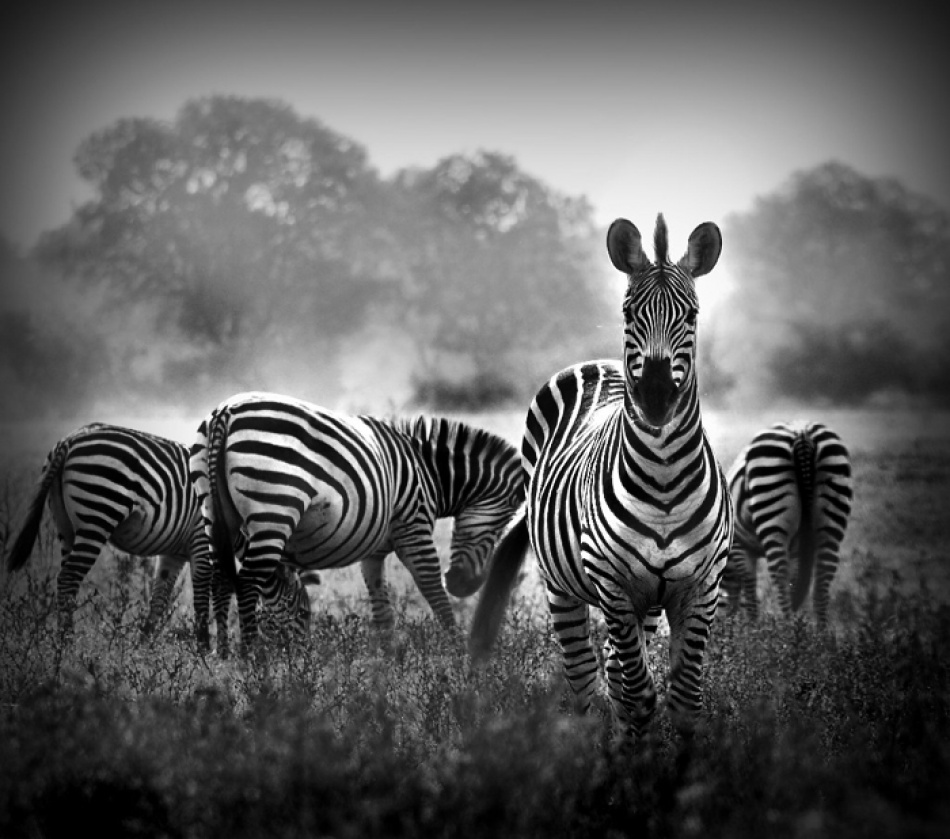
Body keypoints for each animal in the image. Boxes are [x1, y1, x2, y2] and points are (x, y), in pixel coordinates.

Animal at [6, 424, 212, 640]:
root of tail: (72, 437)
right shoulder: (202, 541)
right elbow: (203, 604)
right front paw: (204, 647)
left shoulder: (174, 553)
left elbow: (159, 600)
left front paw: (144, 645)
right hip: (98, 514)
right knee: (69, 578)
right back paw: (67, 642)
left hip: (65, 525)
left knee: (64, 579)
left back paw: (62, 640)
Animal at [190, 394, 524, 648]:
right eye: (500, 529)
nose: (464, 586)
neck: (429, 474)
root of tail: (226, 411)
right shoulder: (413, 526)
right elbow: (433, 591)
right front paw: (457, 652)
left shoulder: (374, 552)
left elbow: (382, 612)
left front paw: (389, 666)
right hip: (274, 512)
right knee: (247, 583)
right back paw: (252, 659)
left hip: (215, 513)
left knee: (220, 579)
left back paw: (223, 657)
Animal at [472, 215, 732, 740]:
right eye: (629, 313)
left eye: (691, 316)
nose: (655, 397)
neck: (664, 479)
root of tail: (597, 364)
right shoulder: (613, 585)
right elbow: (638, 694)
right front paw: (632, 757)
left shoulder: (702, 587)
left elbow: (683, 699)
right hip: (563, 587)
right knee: (585, 676)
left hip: (646, 603)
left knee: (613, 669)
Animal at [720, 420, 856, 632]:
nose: (721, 628)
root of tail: (802, 433)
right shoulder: (796, 552)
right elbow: (794, 579)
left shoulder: (740, 547)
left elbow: (749, 587)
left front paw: (752, 627)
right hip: (834, 502)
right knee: (824, 571)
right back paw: (820, 634)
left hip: (770, 502)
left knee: (779, 572)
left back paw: (787, 628)